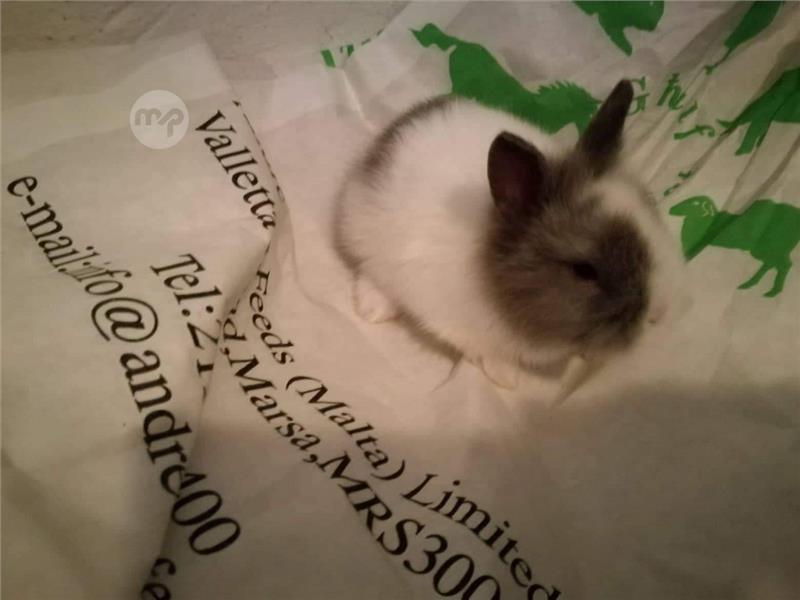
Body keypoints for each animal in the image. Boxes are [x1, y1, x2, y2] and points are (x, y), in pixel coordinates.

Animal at [334, 80, 685, 390]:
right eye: (585, 271)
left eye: (651, 212)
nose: (658, 314)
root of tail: (394, 131)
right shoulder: (454, 321)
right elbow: (484, 351)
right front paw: (505, 377)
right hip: (366, 233)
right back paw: (373, 309)